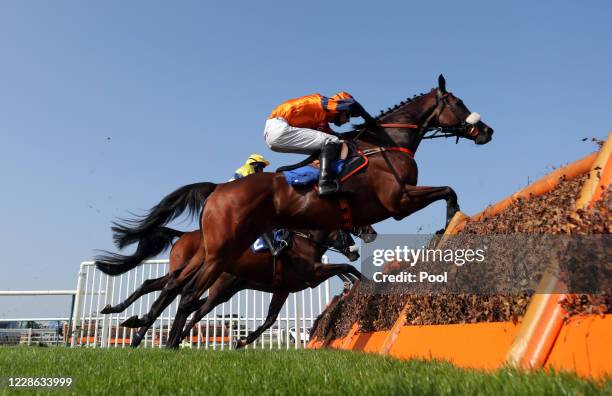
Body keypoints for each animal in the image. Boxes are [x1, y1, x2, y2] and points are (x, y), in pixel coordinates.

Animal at [111, 75, 492, 346]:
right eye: (458, 102)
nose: (486, 130)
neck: (386, 143)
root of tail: (217, 190)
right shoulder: (398, 200)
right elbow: (449, 192)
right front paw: (447, 229)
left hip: (213, 258)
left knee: (172, 291)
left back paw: (141, 329)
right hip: (218, 258)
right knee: (184, 295)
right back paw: (162, 341)